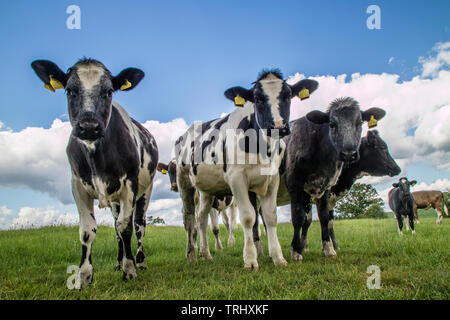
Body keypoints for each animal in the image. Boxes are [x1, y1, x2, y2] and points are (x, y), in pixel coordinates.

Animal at [29, 57, 156, 288]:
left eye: (109, 91)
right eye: (70, 90)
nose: (89, 126)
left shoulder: (130, 184)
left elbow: (126, 227)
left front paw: (130, 269)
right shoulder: (77, 185)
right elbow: (88, 230)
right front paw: (84, 275)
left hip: (145, 189)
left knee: (139, 224)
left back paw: (139, 261)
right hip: (114, 199)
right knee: (115, 226)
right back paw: (118, 262)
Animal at [174, 70, 318, 270]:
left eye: (288, 95)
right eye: (257, 98)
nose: (279, 127)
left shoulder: (273, 179)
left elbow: (270, 217)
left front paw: (278, 257)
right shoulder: (237, 179)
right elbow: (249, 217)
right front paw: (250, 259)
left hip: (206, 190)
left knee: (201, 218)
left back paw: (206, 254)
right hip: (183, 181)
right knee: (189, 219)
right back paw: (192, 256)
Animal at [282, 99, 384, 262]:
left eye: (360, 122)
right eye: (331, 124)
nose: (348, 153)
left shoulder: (324, 187)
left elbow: (324, 218)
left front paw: (329, 249)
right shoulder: (294, 183)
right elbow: (298, 217)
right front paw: (296, 251)